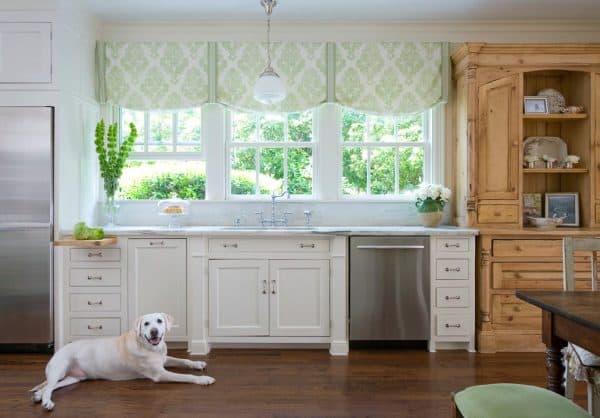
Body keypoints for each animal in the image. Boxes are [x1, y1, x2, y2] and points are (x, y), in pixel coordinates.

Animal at [29, 312, 216, 410]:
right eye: (146, 324)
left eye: (159, 321)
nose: (154, 331)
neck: (149, 346)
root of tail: (59, 349)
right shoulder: (160, 374)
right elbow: (186, 376)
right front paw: (203, 379)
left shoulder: (164, 360)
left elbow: (183, 360)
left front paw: (197, 363)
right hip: (59, 369)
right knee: (49, 387)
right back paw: (45, 401)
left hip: (73, 378)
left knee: (51, 386)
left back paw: (38, 395)